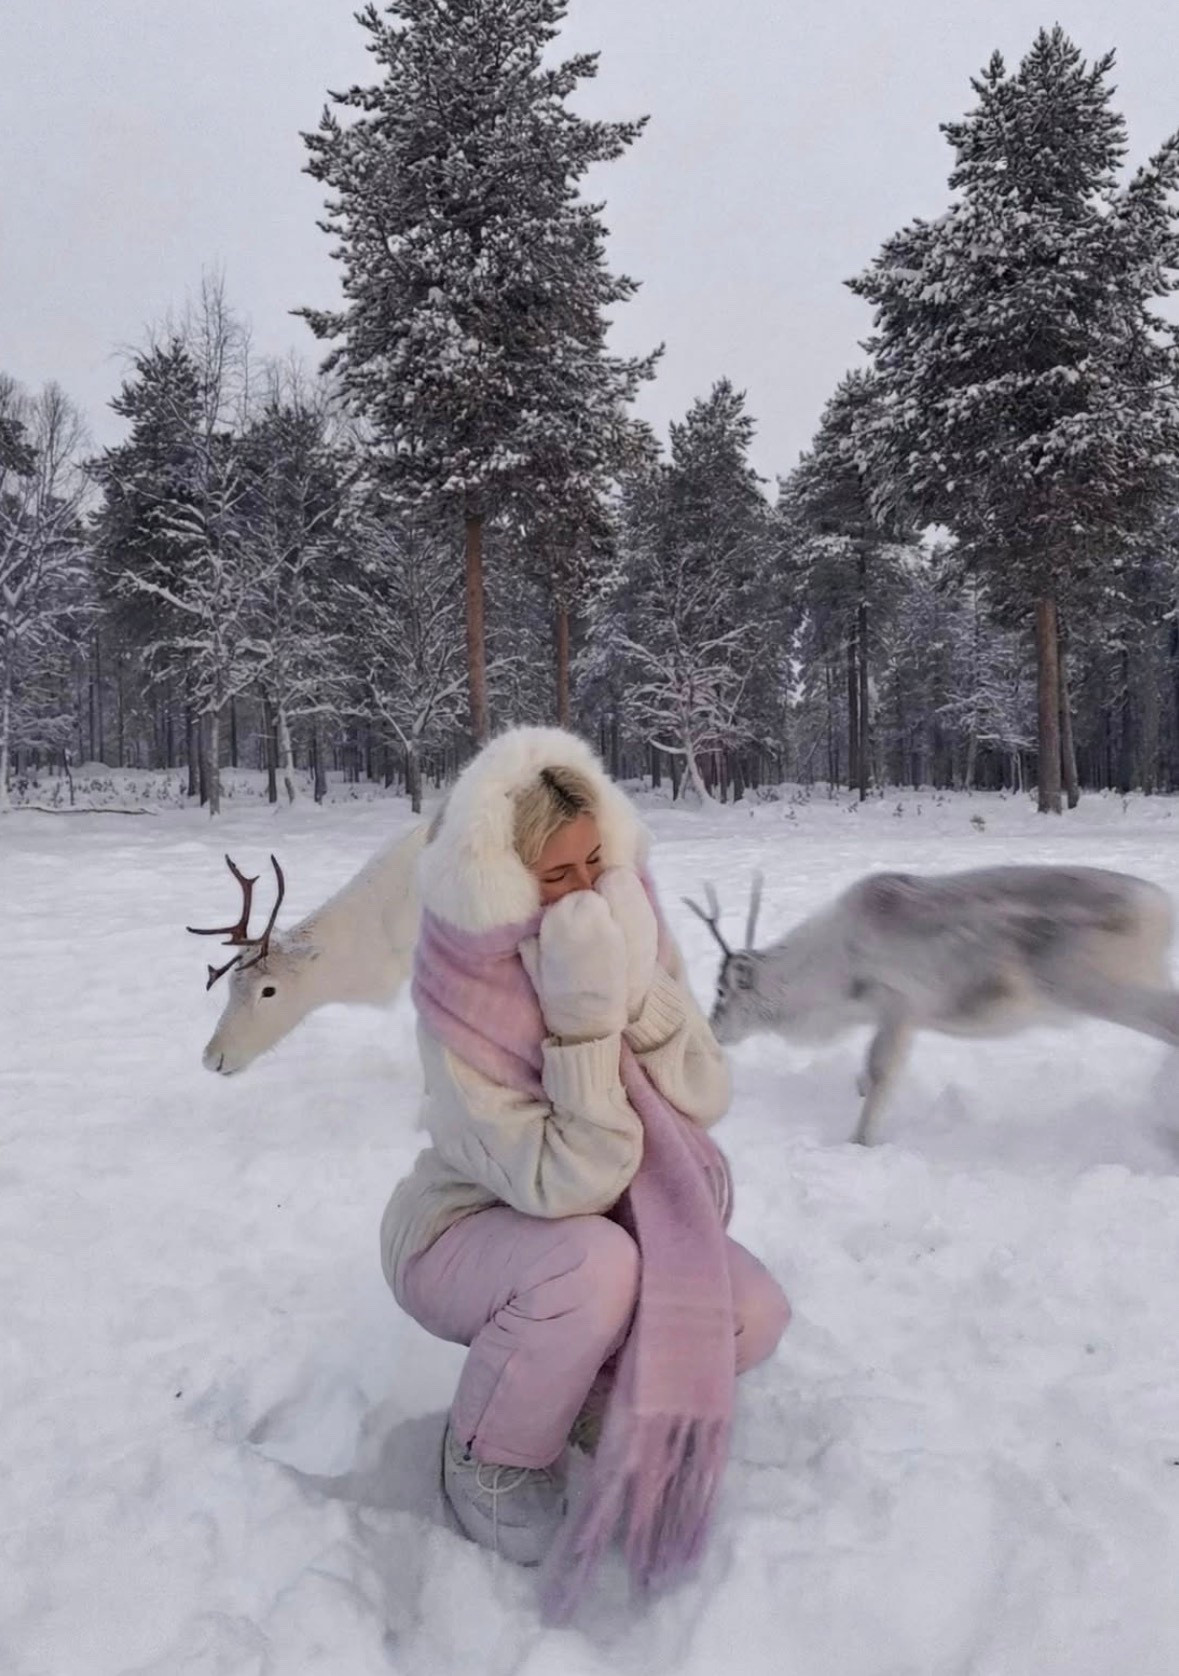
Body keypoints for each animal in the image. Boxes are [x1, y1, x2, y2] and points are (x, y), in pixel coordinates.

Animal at [686, 865, 1179, 1145]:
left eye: (723, 991)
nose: (714, 1030)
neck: (831, 969)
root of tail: (1160, 907)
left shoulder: (898, 1005)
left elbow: (881, 1069)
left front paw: (859, 1140)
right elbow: (869, 1071)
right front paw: (858, 1092)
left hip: (1098, 986)